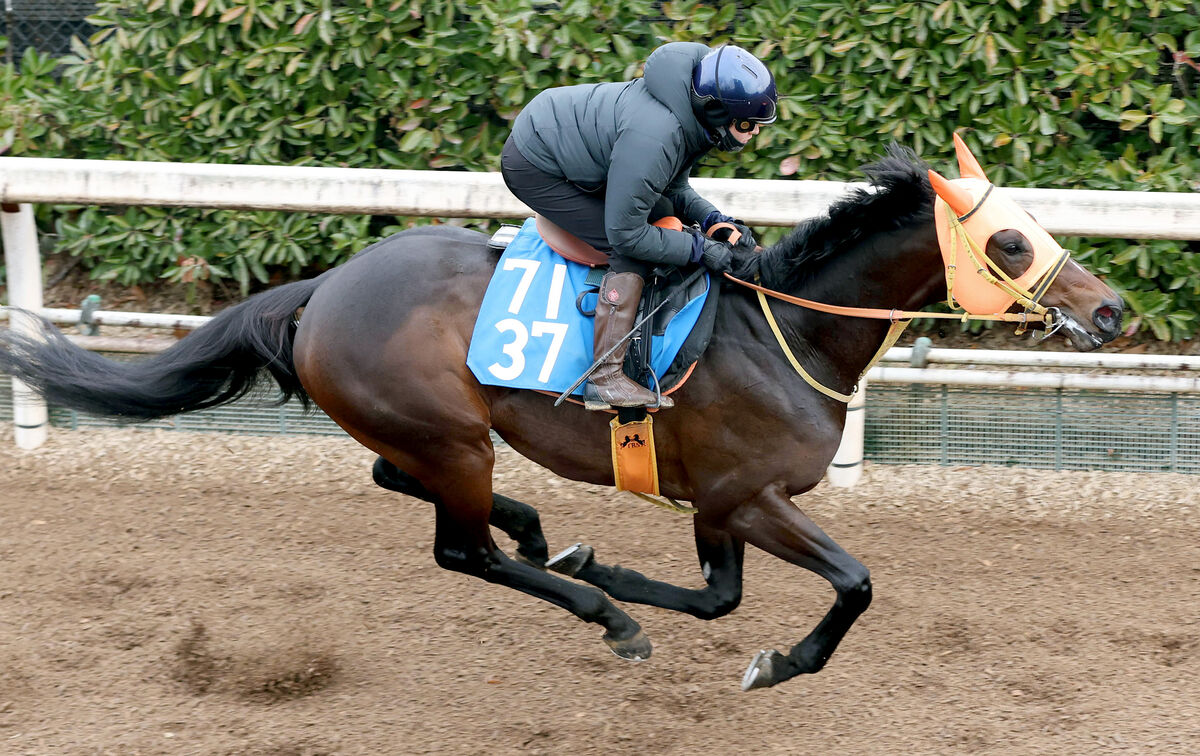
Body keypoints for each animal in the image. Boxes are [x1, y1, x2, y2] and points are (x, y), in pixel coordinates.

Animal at [2, 142, 1123, 691]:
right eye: (1012, 243)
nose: (1109, 309)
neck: (787, 333)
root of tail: (323, 287)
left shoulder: (716, 503)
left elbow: (716, 598)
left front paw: (610, 566)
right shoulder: (748, 494)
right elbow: (851, 583)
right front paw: (772, 662)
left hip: (439, 433)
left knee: (402, 479)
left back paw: (549, 538)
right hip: (448, 434)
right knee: (460, 551)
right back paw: (601, 615)